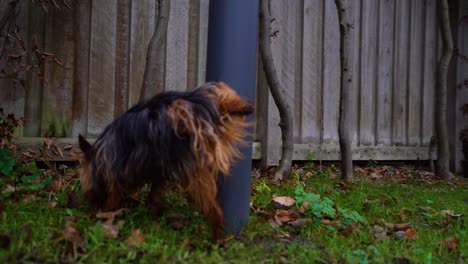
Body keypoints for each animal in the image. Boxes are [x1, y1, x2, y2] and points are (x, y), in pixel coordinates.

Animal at [77, 82, 252, 241]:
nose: (91, 207)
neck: (100, 155)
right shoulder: (159, 168)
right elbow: (155, 192)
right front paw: (153, 212)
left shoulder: (118, 172)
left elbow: (114, 194)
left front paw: (107, 211)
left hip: (191, 171)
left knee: (210, 207)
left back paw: (217, 236)